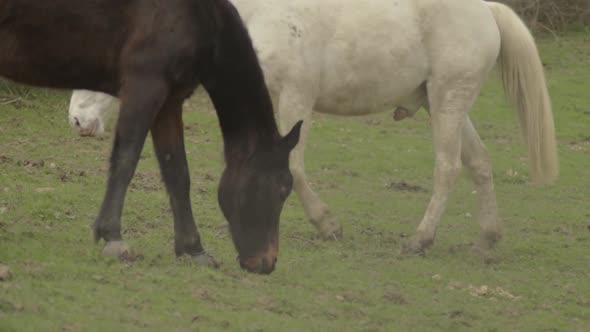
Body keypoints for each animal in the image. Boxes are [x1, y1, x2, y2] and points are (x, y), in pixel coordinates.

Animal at [0, 0, 302, 274]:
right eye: (281, 189)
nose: (267, 263)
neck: (197, 14)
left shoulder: (169, 102)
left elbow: (178, 174)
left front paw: (193, 249)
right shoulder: (145, 87)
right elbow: (125, 161)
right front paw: (113, 237)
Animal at [68, 0, 560, 256]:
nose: (77, 121)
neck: (258, 17)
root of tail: (488, 12)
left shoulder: (296, 99)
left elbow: (296, 168)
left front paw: (327, 225)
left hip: (447, 103)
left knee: (448, 169)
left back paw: (420, 240)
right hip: (446, 106)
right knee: (479, 164)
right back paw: (489, 236)